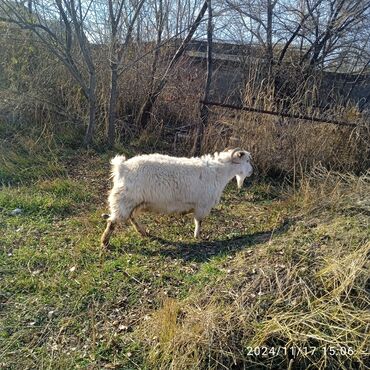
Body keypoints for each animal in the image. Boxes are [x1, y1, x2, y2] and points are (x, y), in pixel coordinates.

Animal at [99, 147, 253, 246]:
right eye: (246, 161)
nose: (251, 172)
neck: (219, 172)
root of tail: (122, 167)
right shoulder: (202, 205)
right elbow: (199, 222)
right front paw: (197, 236)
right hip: (125, 199)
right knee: (112, 221)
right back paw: (105, 242)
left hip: (134, 201)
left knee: (132, 217)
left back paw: (143, 232)